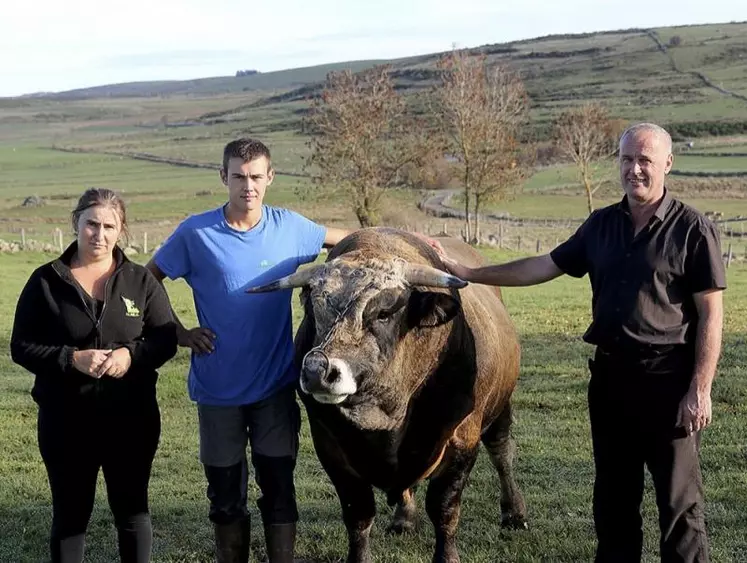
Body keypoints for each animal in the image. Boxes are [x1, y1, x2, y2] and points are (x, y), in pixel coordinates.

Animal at [247, 228, 524, 563]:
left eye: (383, 313)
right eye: (312, 309)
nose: (317, 371)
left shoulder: (462, 438)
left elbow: (444, 508)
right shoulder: (330, 447)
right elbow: (358, 513)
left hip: (501, 407)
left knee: (502, 454)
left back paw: (514, 513)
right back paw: (403, 518)